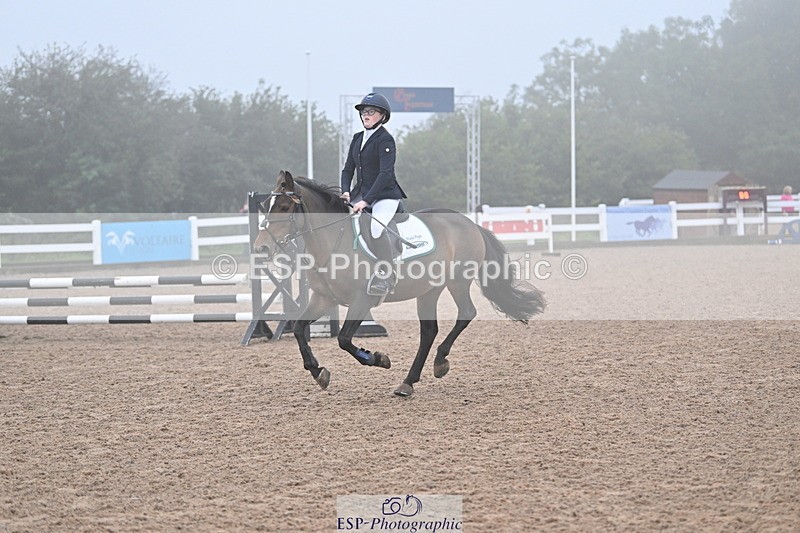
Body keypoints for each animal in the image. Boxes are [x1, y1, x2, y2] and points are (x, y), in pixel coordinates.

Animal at [253, 170, 546, 396]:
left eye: (284, 207)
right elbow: (299, 329)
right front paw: (318, 372)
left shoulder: (362, 301)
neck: (333, 240)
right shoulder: (323, 299)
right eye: (266, 205)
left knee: (466, 313)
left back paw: (440, 362)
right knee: (429, 331)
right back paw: (408, 382)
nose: (261, 248)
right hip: (429, 290)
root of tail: (469, 223)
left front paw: (377, 359)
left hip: (458, 280)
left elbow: (344, 339)